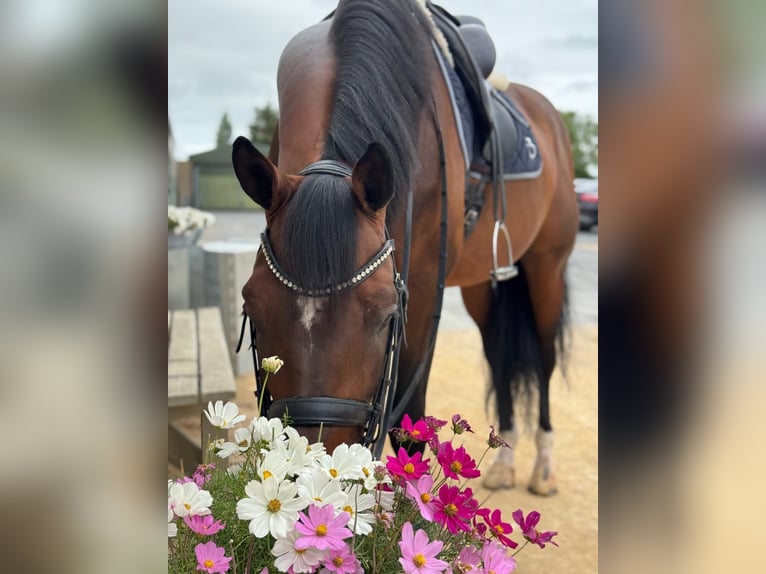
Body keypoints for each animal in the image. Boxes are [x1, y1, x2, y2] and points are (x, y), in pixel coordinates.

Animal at [233, 0, 578, 496]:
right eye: (252, 308)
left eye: (384, 315)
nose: (315, 477)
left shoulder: (422, 288)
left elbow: (412, 429)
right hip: (482, 284)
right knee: (497, 355)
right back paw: (504, 462)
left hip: (546, 265)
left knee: (546, 357)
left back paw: (543, 467)